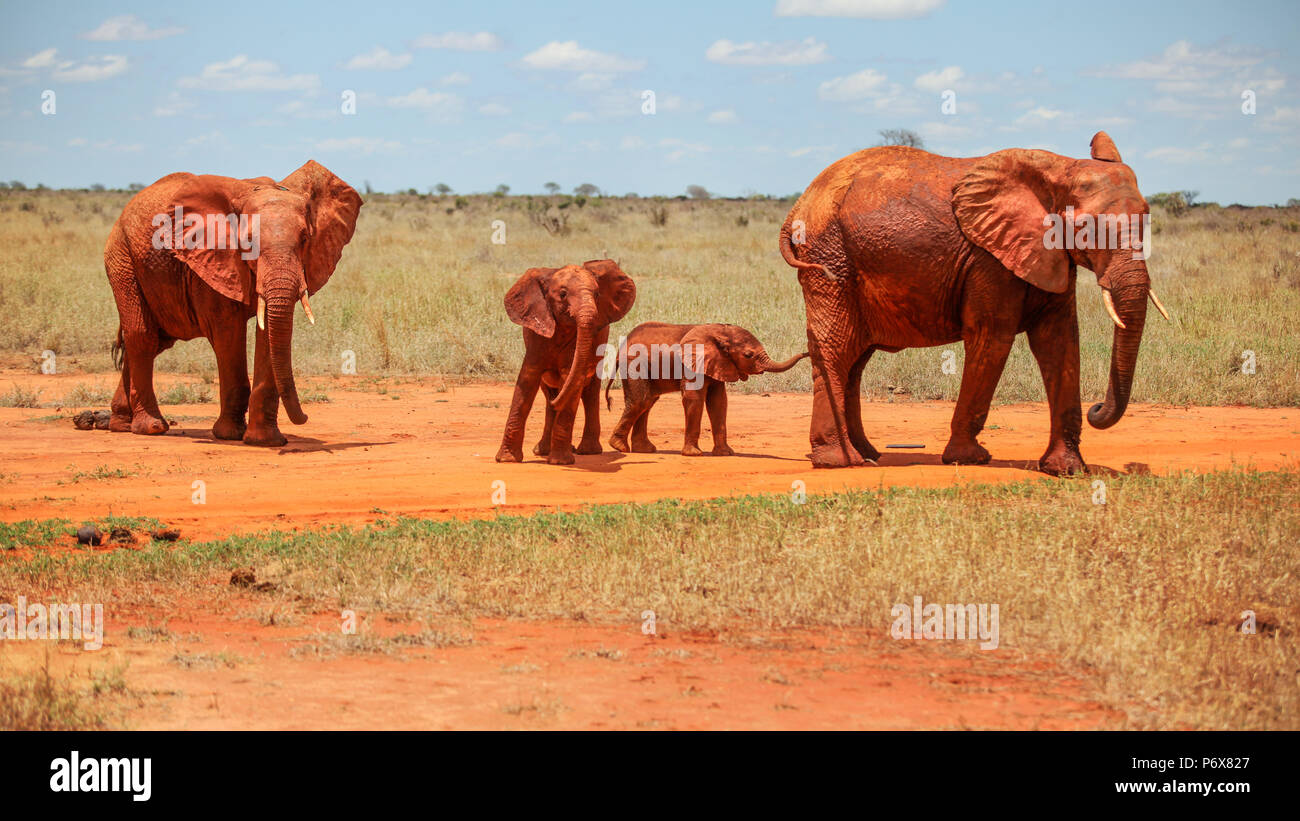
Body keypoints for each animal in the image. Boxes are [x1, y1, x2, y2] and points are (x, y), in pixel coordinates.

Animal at [102, 160, 362, 446]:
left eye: (305, 239)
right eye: (248, 242)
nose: (305, 417)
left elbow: (268, 332)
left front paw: (264, 441)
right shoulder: (212, 261)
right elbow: (228, 331)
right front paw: (230, 435)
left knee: (157, 340)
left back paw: (121, 423)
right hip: (121, 257)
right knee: (142, 336)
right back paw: (151, 427)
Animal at [496, 260, 636, 465]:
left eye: (597, 295)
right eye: (562, 294)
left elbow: (570, 380)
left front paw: (560, 462)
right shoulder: (537, 337)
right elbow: (527, 382)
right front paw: (507, 460)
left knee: (590, 393)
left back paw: (586, 451)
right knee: (549, 393)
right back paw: (543, 450)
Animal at [605, 322, 807, 456]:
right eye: (748, 355)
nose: (807, 352)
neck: (720, 332)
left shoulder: (718, 364)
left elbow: (719, 402)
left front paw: (726, 453)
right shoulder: (693, 365)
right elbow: (694, 398)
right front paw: (694, 454)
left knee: (648, 402)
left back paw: (644, 450)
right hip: (634, 364)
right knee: (642, 401)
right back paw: (619, 447)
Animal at [779, 131, 1168, 474]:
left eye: (1147, 218)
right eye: (1086, 227)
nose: (1097, 408)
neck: (1060, 170)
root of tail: (798, 205)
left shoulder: (1049, 255)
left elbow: (1060, 341)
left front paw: (1067, 470)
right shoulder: (987, 259)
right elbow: (992, 337)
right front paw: (969, 459)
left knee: (855, 361)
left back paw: (867, 454)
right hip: (829, 257)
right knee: (838, 349)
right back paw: (839, 461)